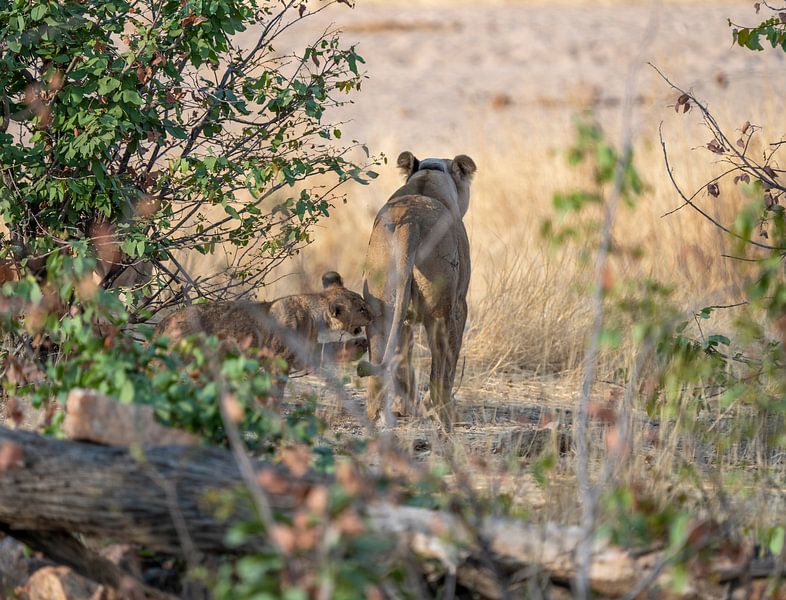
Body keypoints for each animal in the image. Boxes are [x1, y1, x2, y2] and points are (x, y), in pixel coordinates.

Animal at [155, 271, 371, 397]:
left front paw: (359, 346)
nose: (372, 316)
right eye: (362, 309)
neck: (315, 317)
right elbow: (276, 389)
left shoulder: (304, 353)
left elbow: (331, 349)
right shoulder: (279, 359)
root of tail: (163, 322)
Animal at [357, 151, 477, 428]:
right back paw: (444, 412)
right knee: (440, 367)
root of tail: (409, 227)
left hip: (380, 305)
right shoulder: (461, 304)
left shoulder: (406, 317)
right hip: (443, 310)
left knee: (382, 360)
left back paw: (381, 413)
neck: (429, 176)